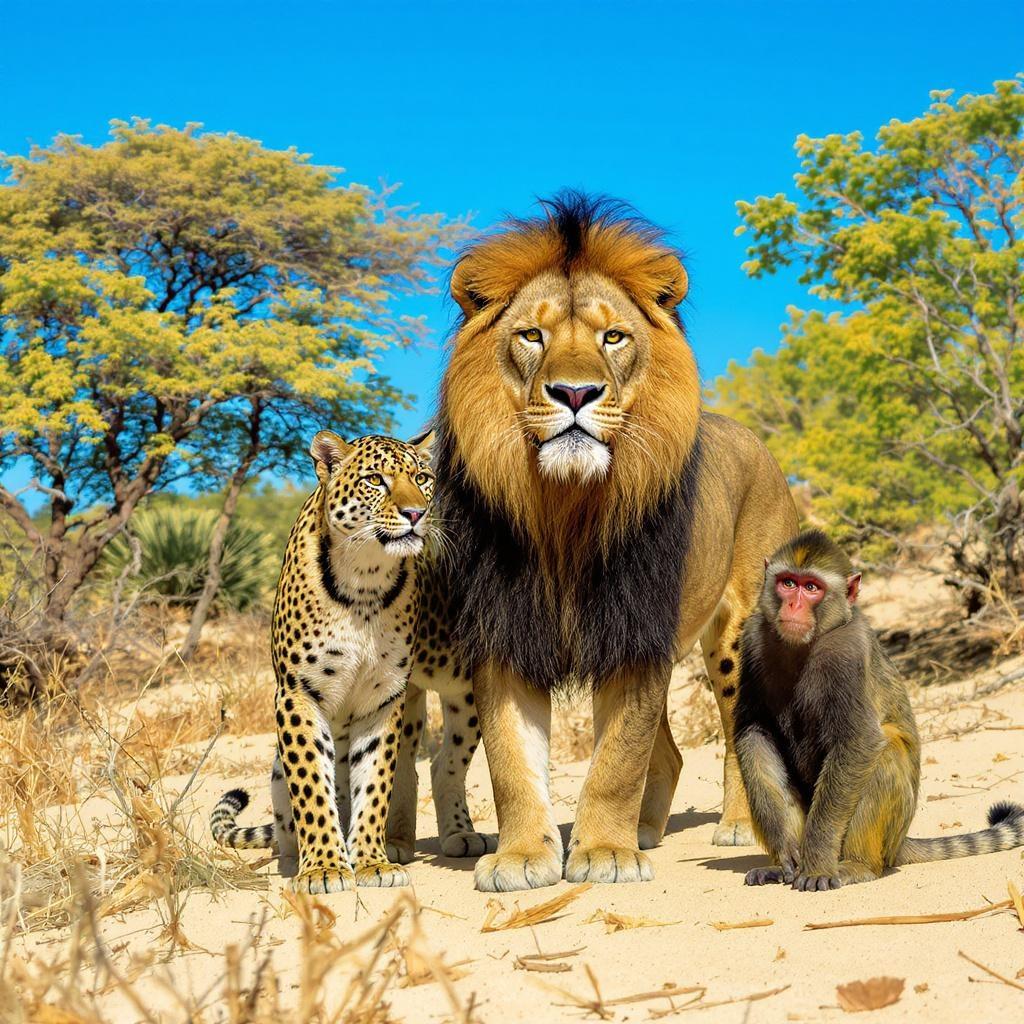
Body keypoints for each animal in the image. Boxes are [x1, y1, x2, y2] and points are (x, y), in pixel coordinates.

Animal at [210, 429, 435, 894]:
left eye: (422, 478)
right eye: (375, 480)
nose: (416, 513)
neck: (366, 580)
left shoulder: (384, 699)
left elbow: (375, 783)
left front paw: (372, 861)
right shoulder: (298, 694)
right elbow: (312, 783)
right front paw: (325, 868)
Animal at [403, 192, 798, 892]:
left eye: (613, 336)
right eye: (531, 335)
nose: (575, 392)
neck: (564, 508)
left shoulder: (636, 637)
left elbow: (618, 759)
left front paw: (606, 853)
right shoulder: (505, 638)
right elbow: (512, 760)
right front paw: (523, 857)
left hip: (736, 631)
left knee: (734, 730)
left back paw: (731, 827)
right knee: (671, 753)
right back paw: (647, 831)